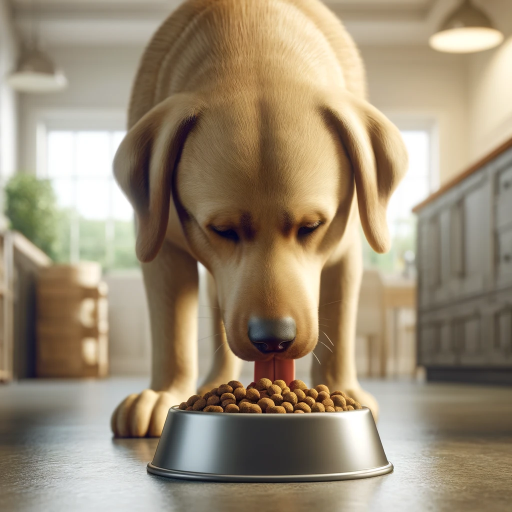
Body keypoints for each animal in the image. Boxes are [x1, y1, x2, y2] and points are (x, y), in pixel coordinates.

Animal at [110, 0, 406, 436]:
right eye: (222, 230)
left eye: (311, 227)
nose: (274, 340)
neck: (252, 42)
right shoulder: (160, 243)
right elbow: (171, 332)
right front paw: (163, 392)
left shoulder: (347, 246)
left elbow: (340, 318)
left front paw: (342, 387)